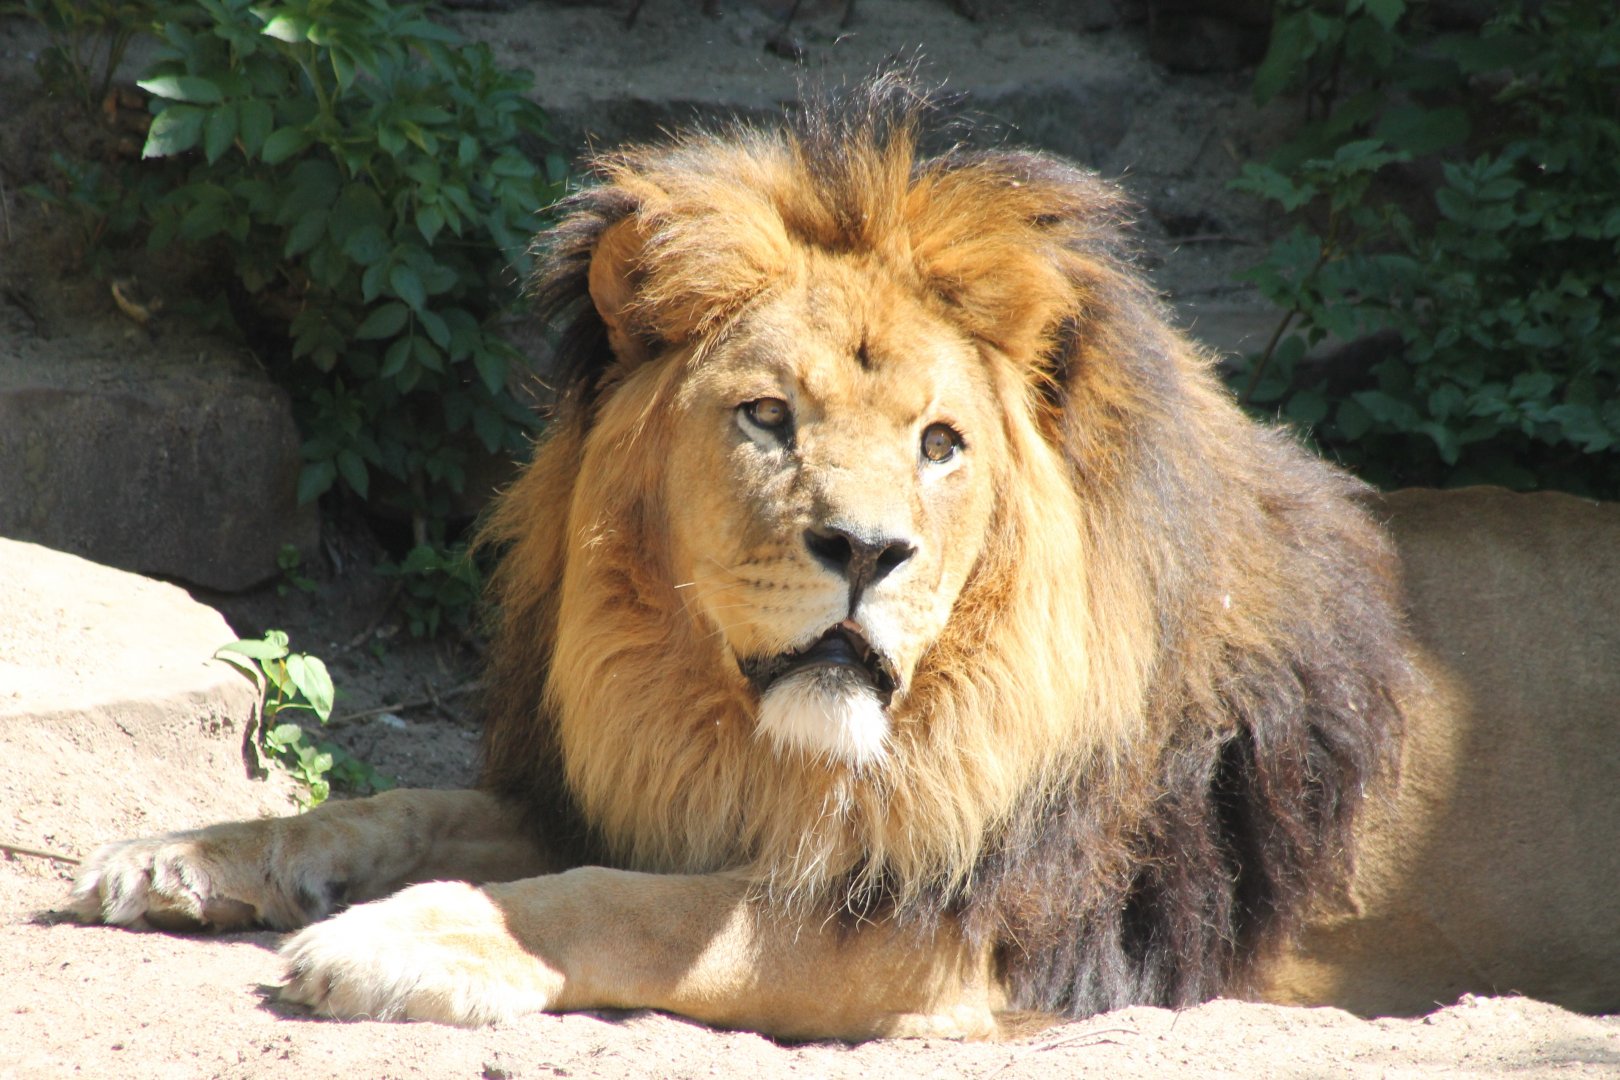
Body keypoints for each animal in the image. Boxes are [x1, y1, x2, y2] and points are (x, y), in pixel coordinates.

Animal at [67, 75, 1620, 1039]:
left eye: (941, 443)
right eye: (768, 416)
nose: (866, 551)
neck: (759, 743)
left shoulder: (961, 923)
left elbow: (630, 910)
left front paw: (401, 943)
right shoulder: (645, 792)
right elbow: (401, 802)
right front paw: (184, 854)